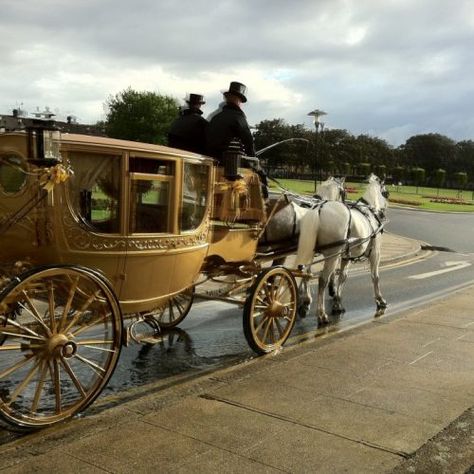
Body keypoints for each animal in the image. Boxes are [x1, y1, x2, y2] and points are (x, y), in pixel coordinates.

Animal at [296, 174, 388, 326]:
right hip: (333, 254)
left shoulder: (345, 256)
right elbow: (375, 277)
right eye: (386, 193)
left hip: (311, 251)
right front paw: (380, 299)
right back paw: (321, 314)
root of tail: (319, 208)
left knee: (306, 272)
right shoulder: (375, 253)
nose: (384, 210)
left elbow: (343, 276)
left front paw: (337, 302)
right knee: (322, 279)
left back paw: (305, 304)